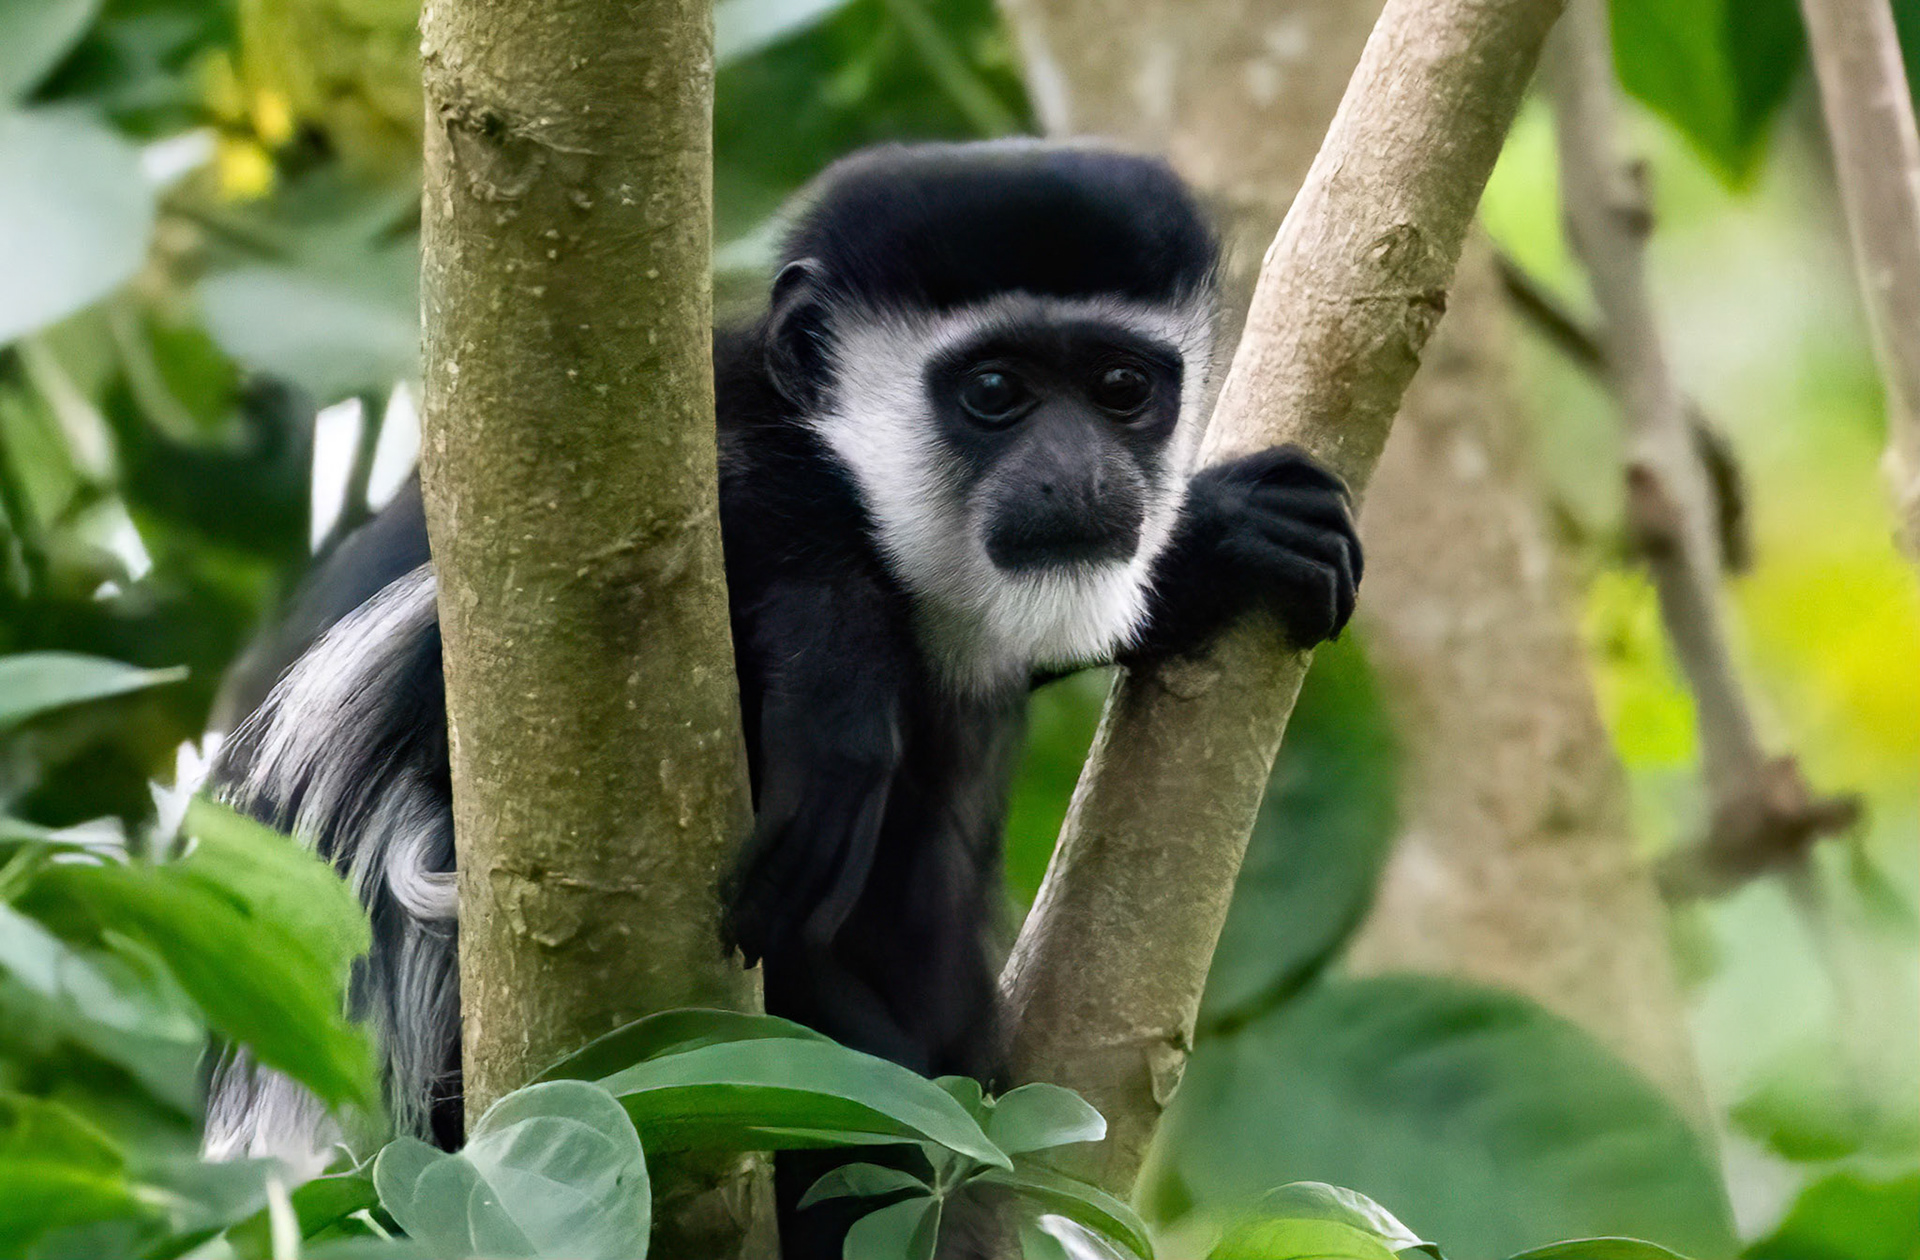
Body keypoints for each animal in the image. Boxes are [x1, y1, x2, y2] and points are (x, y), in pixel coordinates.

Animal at [203, 139, 1362, 1255]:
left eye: (1123, 386)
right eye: (994, 391)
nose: (1079, 475)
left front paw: (1219, 541)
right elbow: (531, 610)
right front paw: (829, 651)